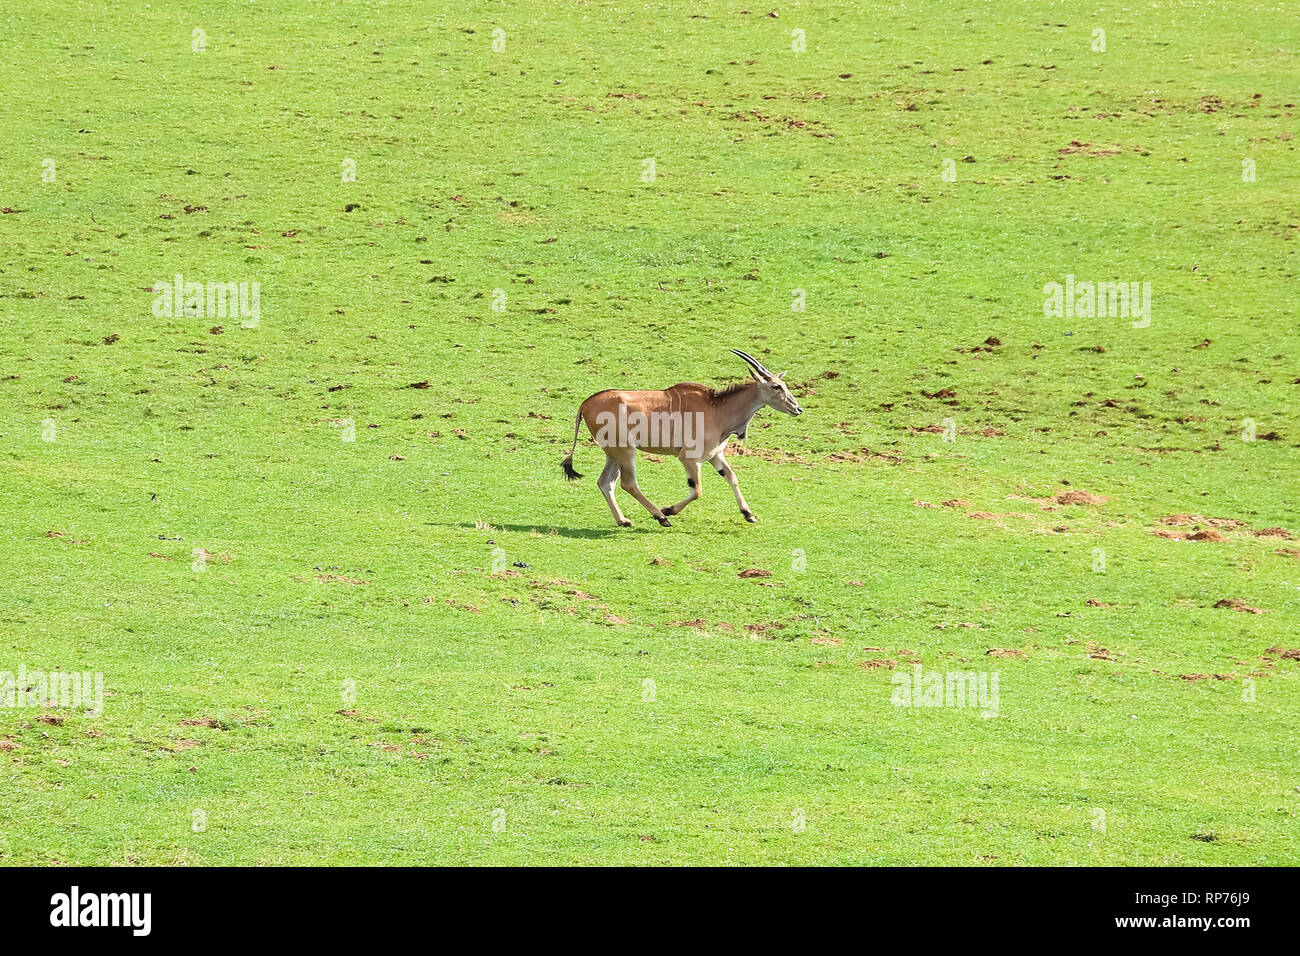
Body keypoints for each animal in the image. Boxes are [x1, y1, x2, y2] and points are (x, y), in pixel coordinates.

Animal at [561, 351, 800, 528]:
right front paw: (668, 510)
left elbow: (732, 477)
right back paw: (661, 517)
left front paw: (748, 514)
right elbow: (697, 490)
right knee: (628, 483)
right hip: (625, 451)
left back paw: (623, 520)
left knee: (605, 482)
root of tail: (586, 404)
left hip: (614, 454)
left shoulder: (715, 455)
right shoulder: (689, 458)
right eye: (776, 386)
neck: (718, 409)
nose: (798, 408)